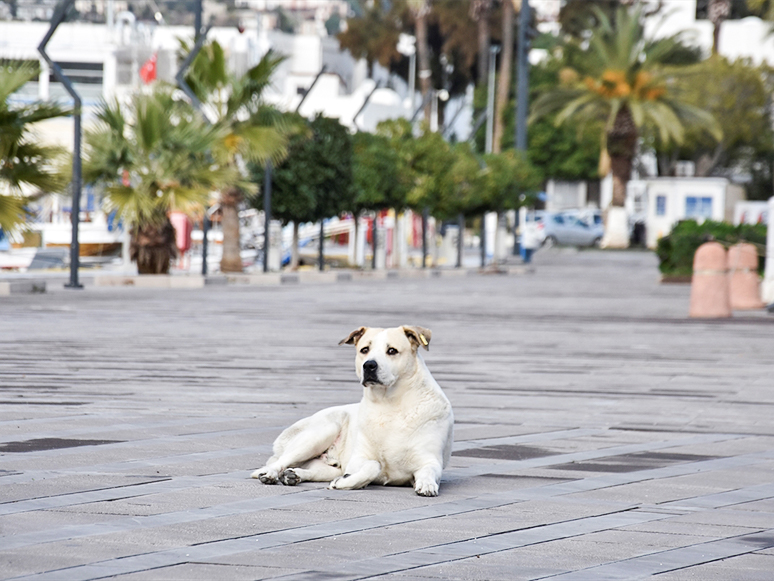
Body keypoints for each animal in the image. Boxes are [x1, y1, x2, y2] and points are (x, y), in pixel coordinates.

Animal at [252, 324, 454, 496]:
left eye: (392, 351)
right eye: (364, 350)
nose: (369, 365)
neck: (389, 405)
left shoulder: (430, 460)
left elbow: (428, 472)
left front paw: (427, 485)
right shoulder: (358, 460)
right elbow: (373, 466)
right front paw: (345, 482)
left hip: (325, 463)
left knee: (312, 470)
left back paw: (294, 474)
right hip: (322, 432)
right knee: (279, 462)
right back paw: (270, 474)